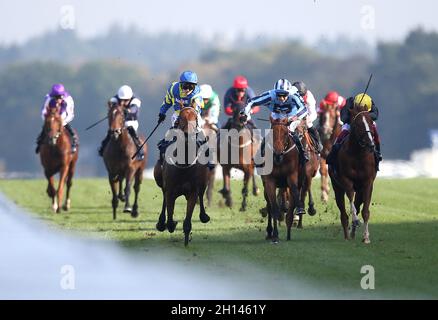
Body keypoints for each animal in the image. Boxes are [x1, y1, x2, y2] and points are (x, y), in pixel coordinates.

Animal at [152, 106, 210, 246]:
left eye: (195, 118)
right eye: (180, 118)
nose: (188, 135)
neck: (184, 164)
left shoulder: (193, 191)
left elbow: (188, 220)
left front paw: (186, 239)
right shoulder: (170, 191)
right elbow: (169, 218)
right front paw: (170, 223)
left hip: (204, 181)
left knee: (201, 194)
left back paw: (204, 216)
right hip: (160, 180)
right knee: (163, 197)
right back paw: (161, 222)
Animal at [328, 104, 376, 242]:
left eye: (371, 122)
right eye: (358, 124)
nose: (371, 144)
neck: (358, 155)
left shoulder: (368, 182)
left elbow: (365, 211)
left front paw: (366, 237)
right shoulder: (345, 179)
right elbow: (350, 195)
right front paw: (355, 220)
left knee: (358, 204)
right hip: (337, 187)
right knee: (343, 213)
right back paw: (347, 235)